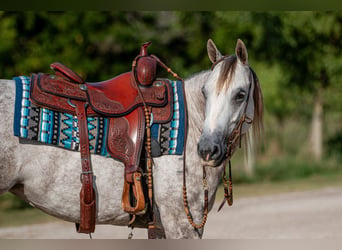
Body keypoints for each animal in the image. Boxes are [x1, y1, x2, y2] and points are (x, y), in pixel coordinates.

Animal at [0, 39, 264, 238]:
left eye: (240, 95)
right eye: (205, 92)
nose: (208, 149)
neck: (191, 126)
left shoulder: (161, 227)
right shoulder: (182, 224)